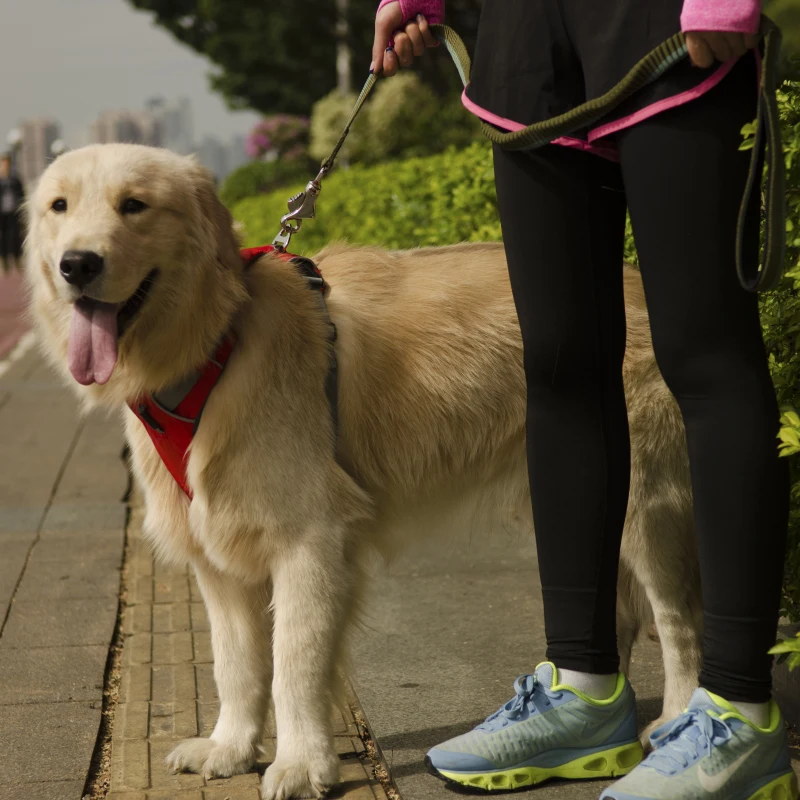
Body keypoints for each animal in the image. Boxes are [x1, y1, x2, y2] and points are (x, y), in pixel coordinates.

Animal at [25, 145, 700, 800]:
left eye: (134, 204)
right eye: (59, 206)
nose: (77, 264)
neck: (214, 347)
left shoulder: (308, 543)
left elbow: (293, 665)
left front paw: (301, 763)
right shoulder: (217, 560)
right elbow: (235, 664)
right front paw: (232, 747)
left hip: (647, 503)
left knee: (679, 622)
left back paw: (674, 722)